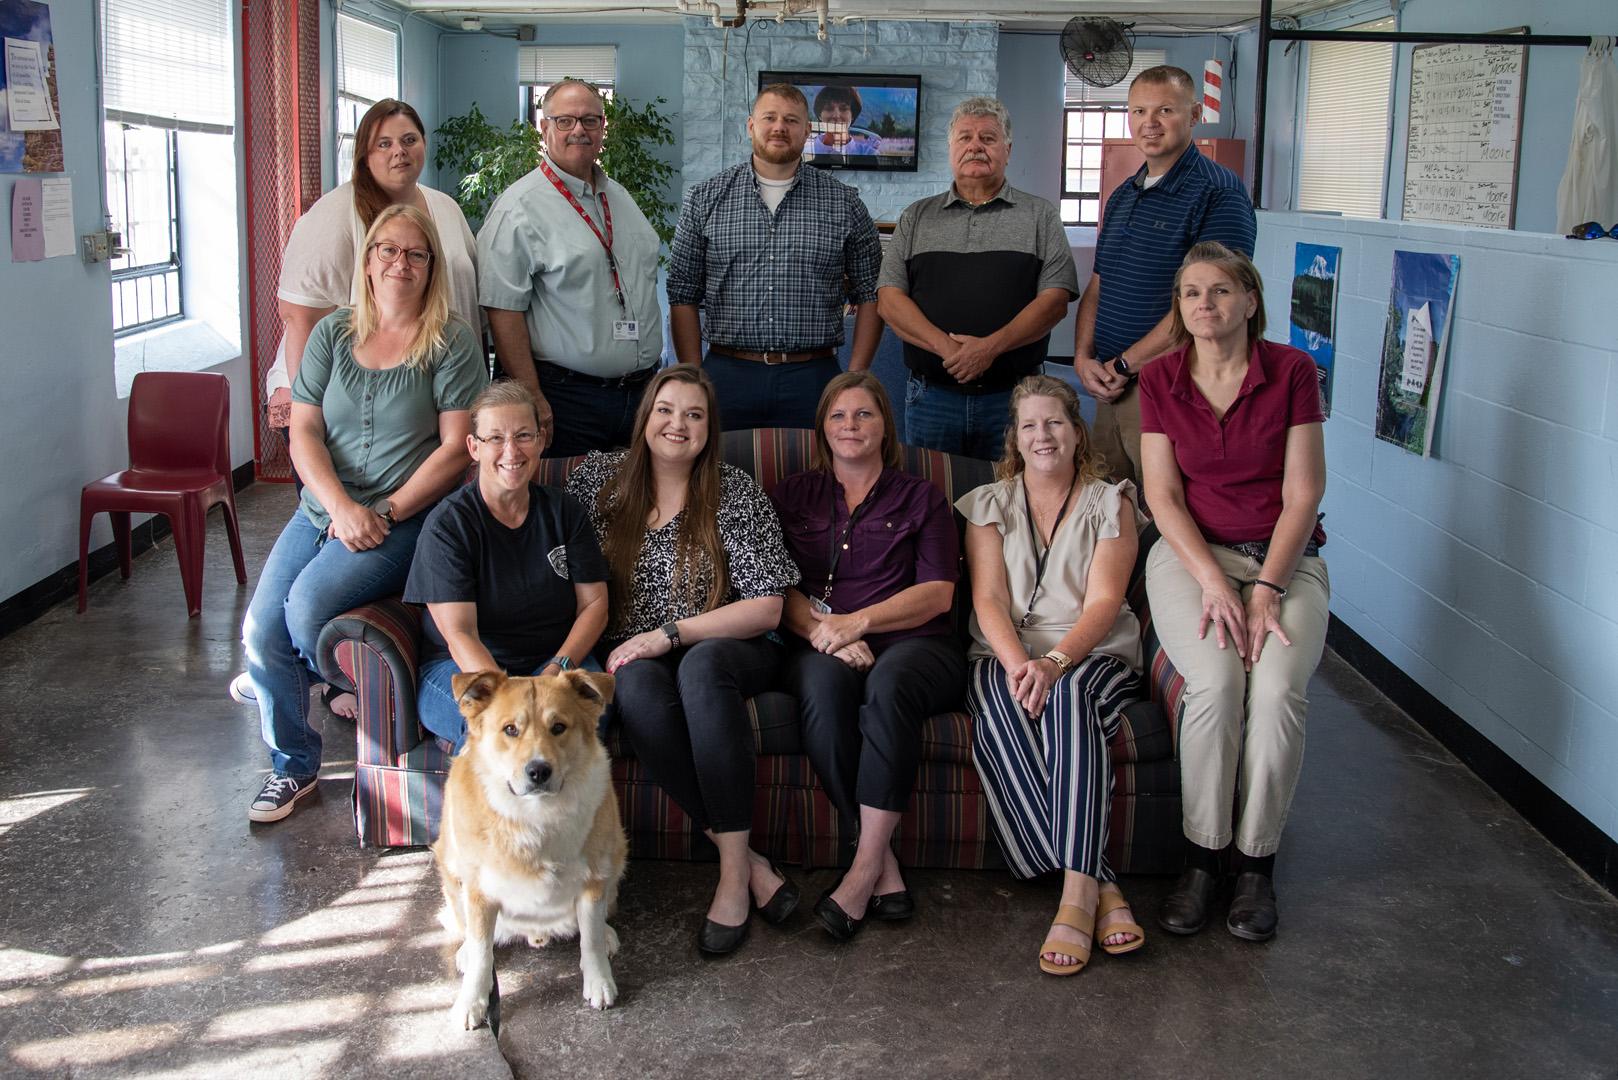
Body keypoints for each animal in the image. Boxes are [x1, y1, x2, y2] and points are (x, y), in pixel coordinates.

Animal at [433, 667, 627, 1029]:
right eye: (511, 729)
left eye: (559, 727)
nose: (538, 770)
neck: (536, 815)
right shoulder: (479, 890)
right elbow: (481, 953)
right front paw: (472, 1001)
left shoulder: (594, 880)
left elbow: (591, 940)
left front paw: (599, 982)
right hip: (450, 870)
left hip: (618, 855)